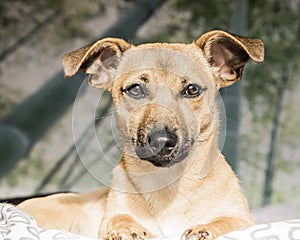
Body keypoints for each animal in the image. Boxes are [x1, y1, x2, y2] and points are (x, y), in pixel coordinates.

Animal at [18, 30, 262, 240]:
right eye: (135, 89)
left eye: (192, 90)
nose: (162, 141)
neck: (168, 182)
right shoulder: (113, 214)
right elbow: (119, 218)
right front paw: (126, 229)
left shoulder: (243, 219)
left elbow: (228, 222)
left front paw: (204, 229)